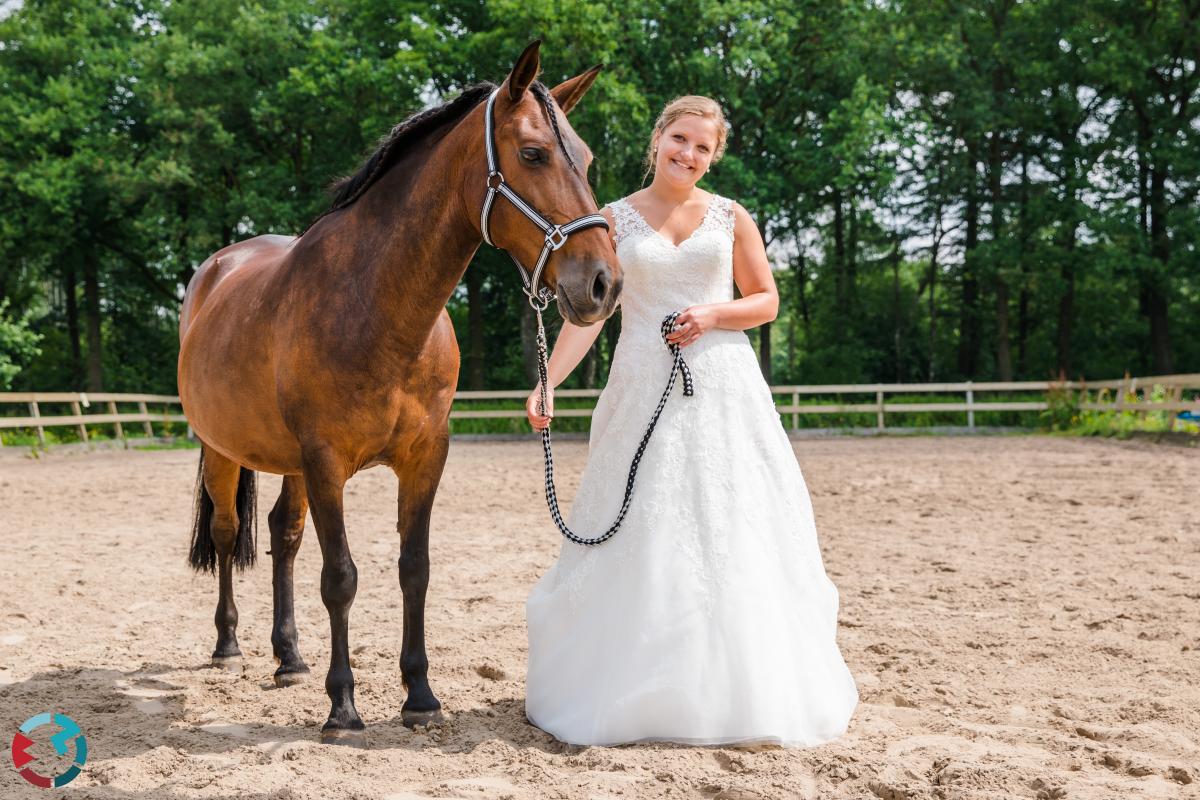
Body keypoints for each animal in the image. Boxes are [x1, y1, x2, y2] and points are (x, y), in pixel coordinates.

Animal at [182, 40, 624, 748]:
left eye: (583, 158)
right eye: (533, 154)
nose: (603, 283)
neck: (377, 305)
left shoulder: (424, 458)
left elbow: (413, 569)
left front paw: (419, 695)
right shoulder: (326, 463)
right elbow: (341, 578)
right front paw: (343, 708)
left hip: (289, 464)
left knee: (283, 535)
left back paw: (289, 657)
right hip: (222, 450)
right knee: (227, 535)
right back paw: (229, 647)